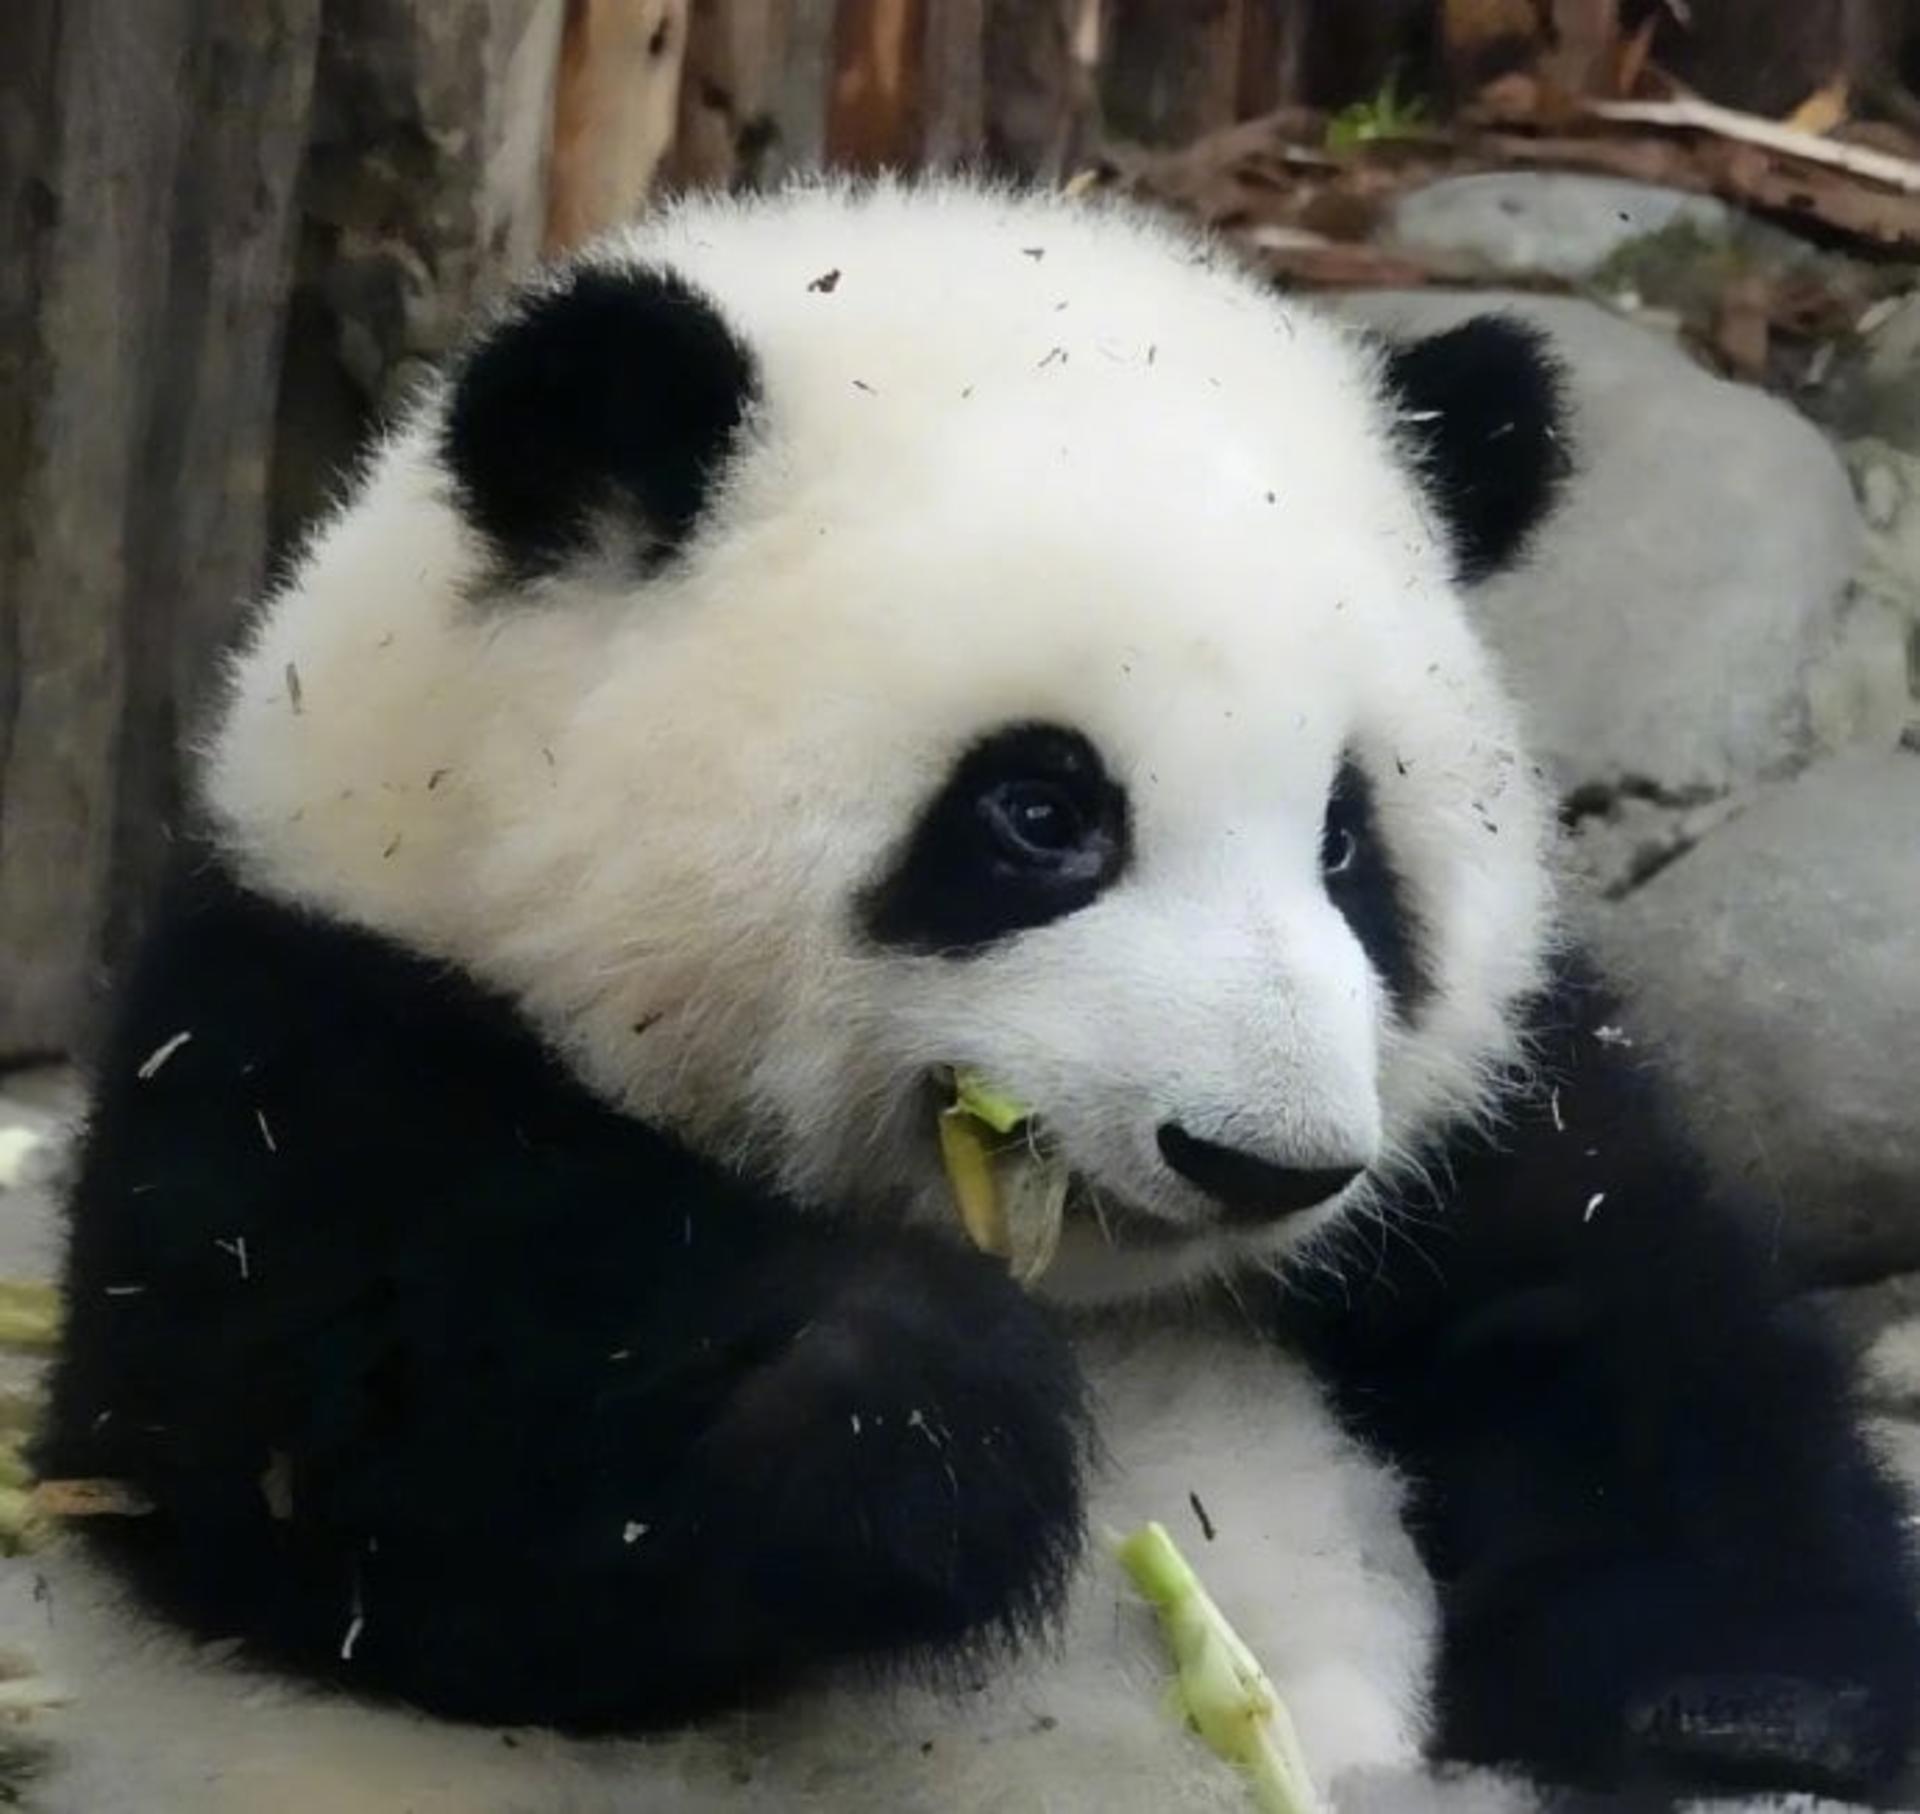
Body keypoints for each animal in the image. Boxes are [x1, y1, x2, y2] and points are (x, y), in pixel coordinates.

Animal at [24, 178, 1920, 1814]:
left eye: (1349, 838)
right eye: (1040, 812)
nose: (1268, 1160)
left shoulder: (1483, 1121)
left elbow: (1638, 1331)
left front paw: (1759, 1711)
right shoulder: (296, 1023)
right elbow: (334, 1453)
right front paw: (933, 1414)